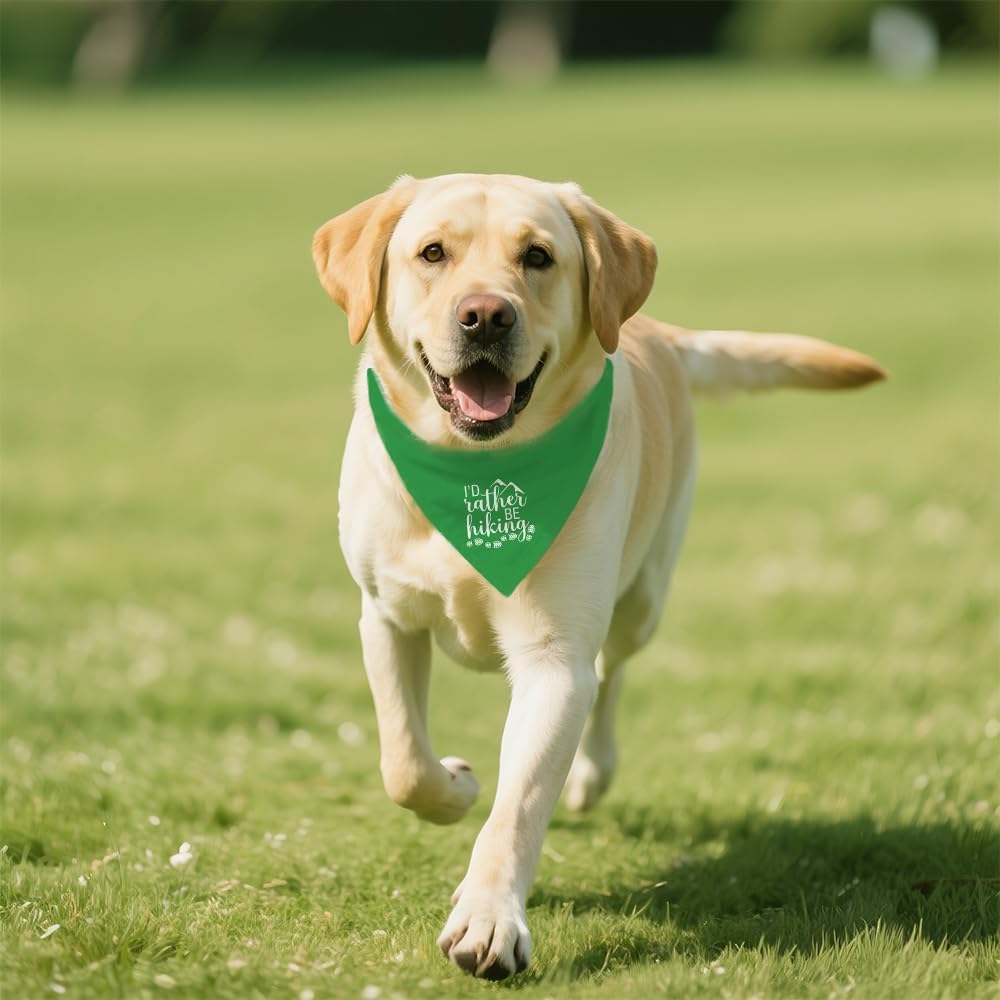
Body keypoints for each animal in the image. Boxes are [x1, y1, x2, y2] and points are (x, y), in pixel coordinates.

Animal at [311, 173, 883, 980]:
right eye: (432, 253)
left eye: (538, 257)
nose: (485, 315)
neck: (477, 472)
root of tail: (659, 330)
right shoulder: (386, 613)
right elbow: (404, 762)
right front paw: (455, 785)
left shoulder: (556, 660)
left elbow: (517, 805)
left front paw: (489, 919)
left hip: (642, 598)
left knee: (610, 679)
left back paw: (590, 771)